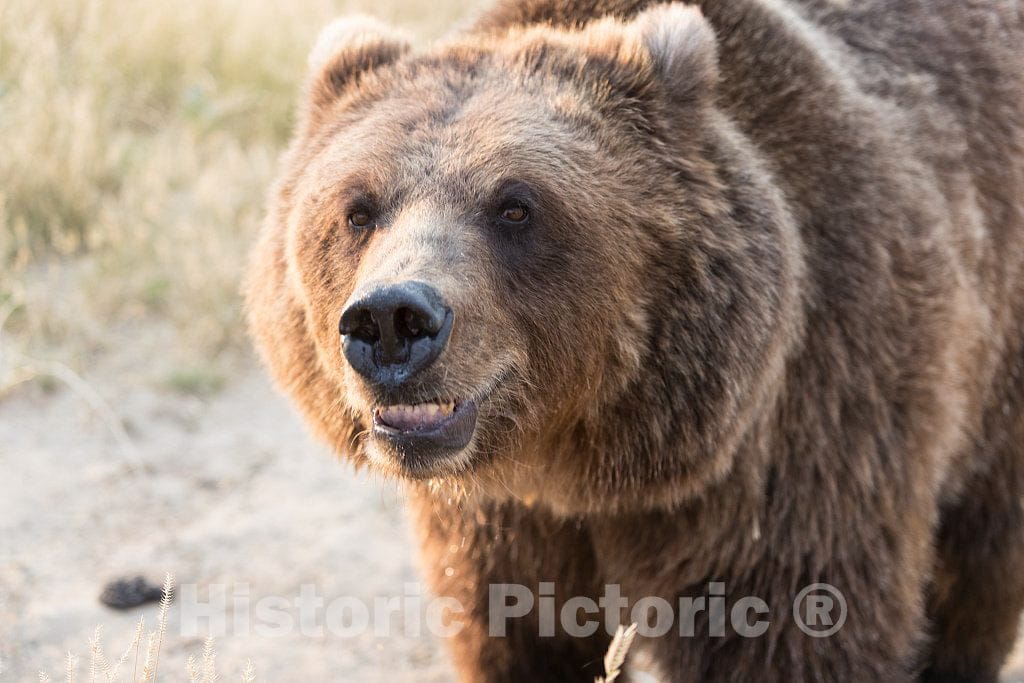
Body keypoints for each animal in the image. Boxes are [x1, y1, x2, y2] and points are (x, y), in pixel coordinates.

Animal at [243, 1, 1024, 679]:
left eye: (516, 205)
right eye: (358, 208)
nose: (391, 319)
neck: (580, 458)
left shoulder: (802, 438)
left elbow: (795, 631)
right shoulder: (494, 526)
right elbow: (519, 639)